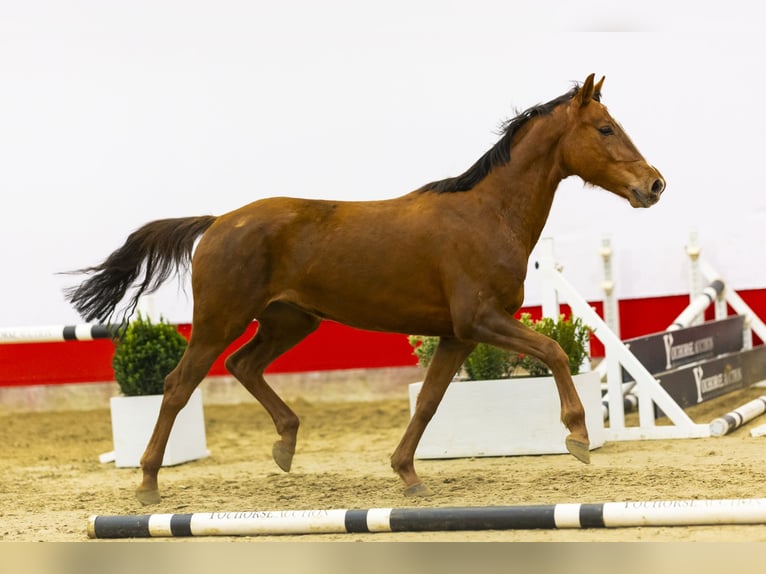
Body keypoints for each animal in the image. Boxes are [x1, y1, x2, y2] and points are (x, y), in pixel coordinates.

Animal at [67, 74, 664, 506]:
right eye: (605, 128)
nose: (655, 184)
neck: (487, 214)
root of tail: (216, 223)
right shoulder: (481, 320)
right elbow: (554, 351)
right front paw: (578, 437)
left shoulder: (458, 335)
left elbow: (429, 400)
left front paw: (407, 474)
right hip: (219, 321)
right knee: (177, 385)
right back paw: (148, 483)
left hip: (291, 320)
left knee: (243, 366)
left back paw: (285, 443)